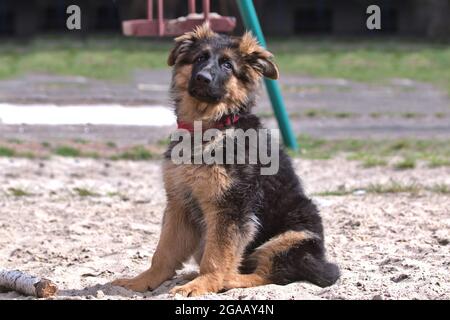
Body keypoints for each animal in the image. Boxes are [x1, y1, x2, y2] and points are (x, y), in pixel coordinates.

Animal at [111, 23, 338, 296]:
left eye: (228, 65)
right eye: (200, 58)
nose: (202, 78)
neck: (209, 127)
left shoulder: (230, 207)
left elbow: (217, 255)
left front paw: (204, 283)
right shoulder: (179, 203)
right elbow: (164, 251)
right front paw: (142, 281)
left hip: (294, 235)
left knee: (271, 273)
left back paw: (228, 280)